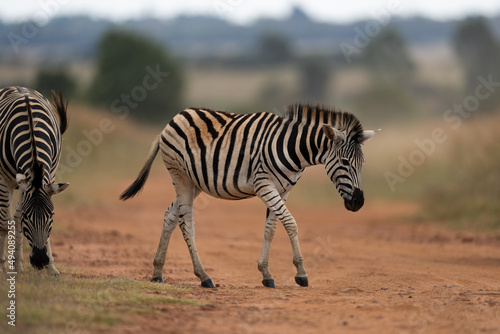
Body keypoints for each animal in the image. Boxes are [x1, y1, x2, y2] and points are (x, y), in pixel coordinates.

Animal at [0, 86, 69, 276]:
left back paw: (18, 265)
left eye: (52, 215)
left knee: (14, 216)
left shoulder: (49, 175)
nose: (39, 261)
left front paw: (52, 268)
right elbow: (4, 222)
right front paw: (2, 268)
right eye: (27, 216)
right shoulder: (5, 180)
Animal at [121, 103, 376, 288]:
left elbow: (271, 228)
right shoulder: (264, 184)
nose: (358, 203)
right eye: (345, 162)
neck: (293, 150)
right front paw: (301, 273)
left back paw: (157, 271)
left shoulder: (283, 189)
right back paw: (204, 276)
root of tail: (176, 116)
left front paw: (266, 274)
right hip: (180, 175)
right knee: (187, 223)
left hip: (194, 182)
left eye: (362, 163)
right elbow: (290, 223)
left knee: (170, 216)